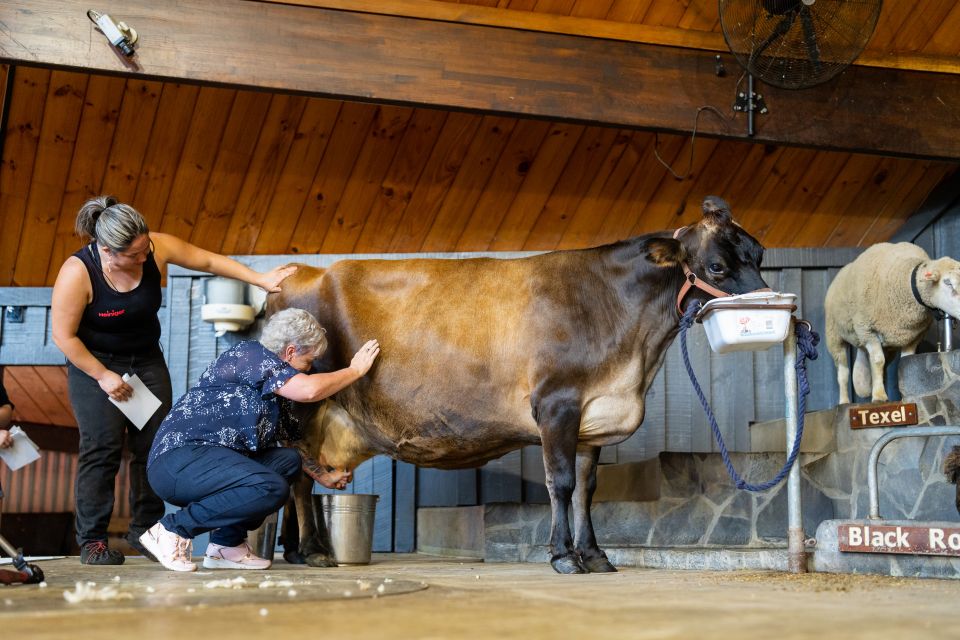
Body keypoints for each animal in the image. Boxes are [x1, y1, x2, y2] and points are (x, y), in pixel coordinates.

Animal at [268, 196, 764, 576]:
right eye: (717, 266)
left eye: (759, 255)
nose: (770, 306)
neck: (636, 362)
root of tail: (300, 270)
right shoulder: (556, 404)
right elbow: (560, 483)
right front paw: (563, 556)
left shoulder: (591, 417)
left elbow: (586, 490)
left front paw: (594, 555)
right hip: (307, 404)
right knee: (300, 480)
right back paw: (312, 551)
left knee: (299, 475)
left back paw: (294, 552)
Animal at [824, 242, 960, 402]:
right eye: (948, 282)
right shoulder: (868, 330)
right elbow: (877, 361)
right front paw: (879, 396)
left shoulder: (914, 337)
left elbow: (904, 363)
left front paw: (902, 397)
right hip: (835, 335)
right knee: (843, 373)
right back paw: (844, 401)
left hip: (881, 344)